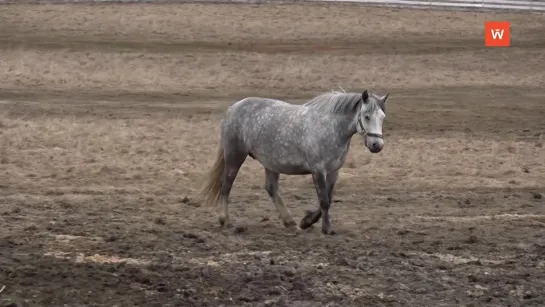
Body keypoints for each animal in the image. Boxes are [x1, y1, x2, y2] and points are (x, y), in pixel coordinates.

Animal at [198, 89, 388, 236]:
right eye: (367, 116)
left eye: (383, 117)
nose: (377, 145)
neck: (331, 127)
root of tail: (233, 108)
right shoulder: (318, 170)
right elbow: (324, 200)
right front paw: (326, 229)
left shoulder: (333, 171)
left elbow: (328, 198)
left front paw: (306, 222)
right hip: (235, 156)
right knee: (226, 185)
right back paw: (224, 220)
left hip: (270, 162)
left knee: (271, 189)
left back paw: (290, 222)